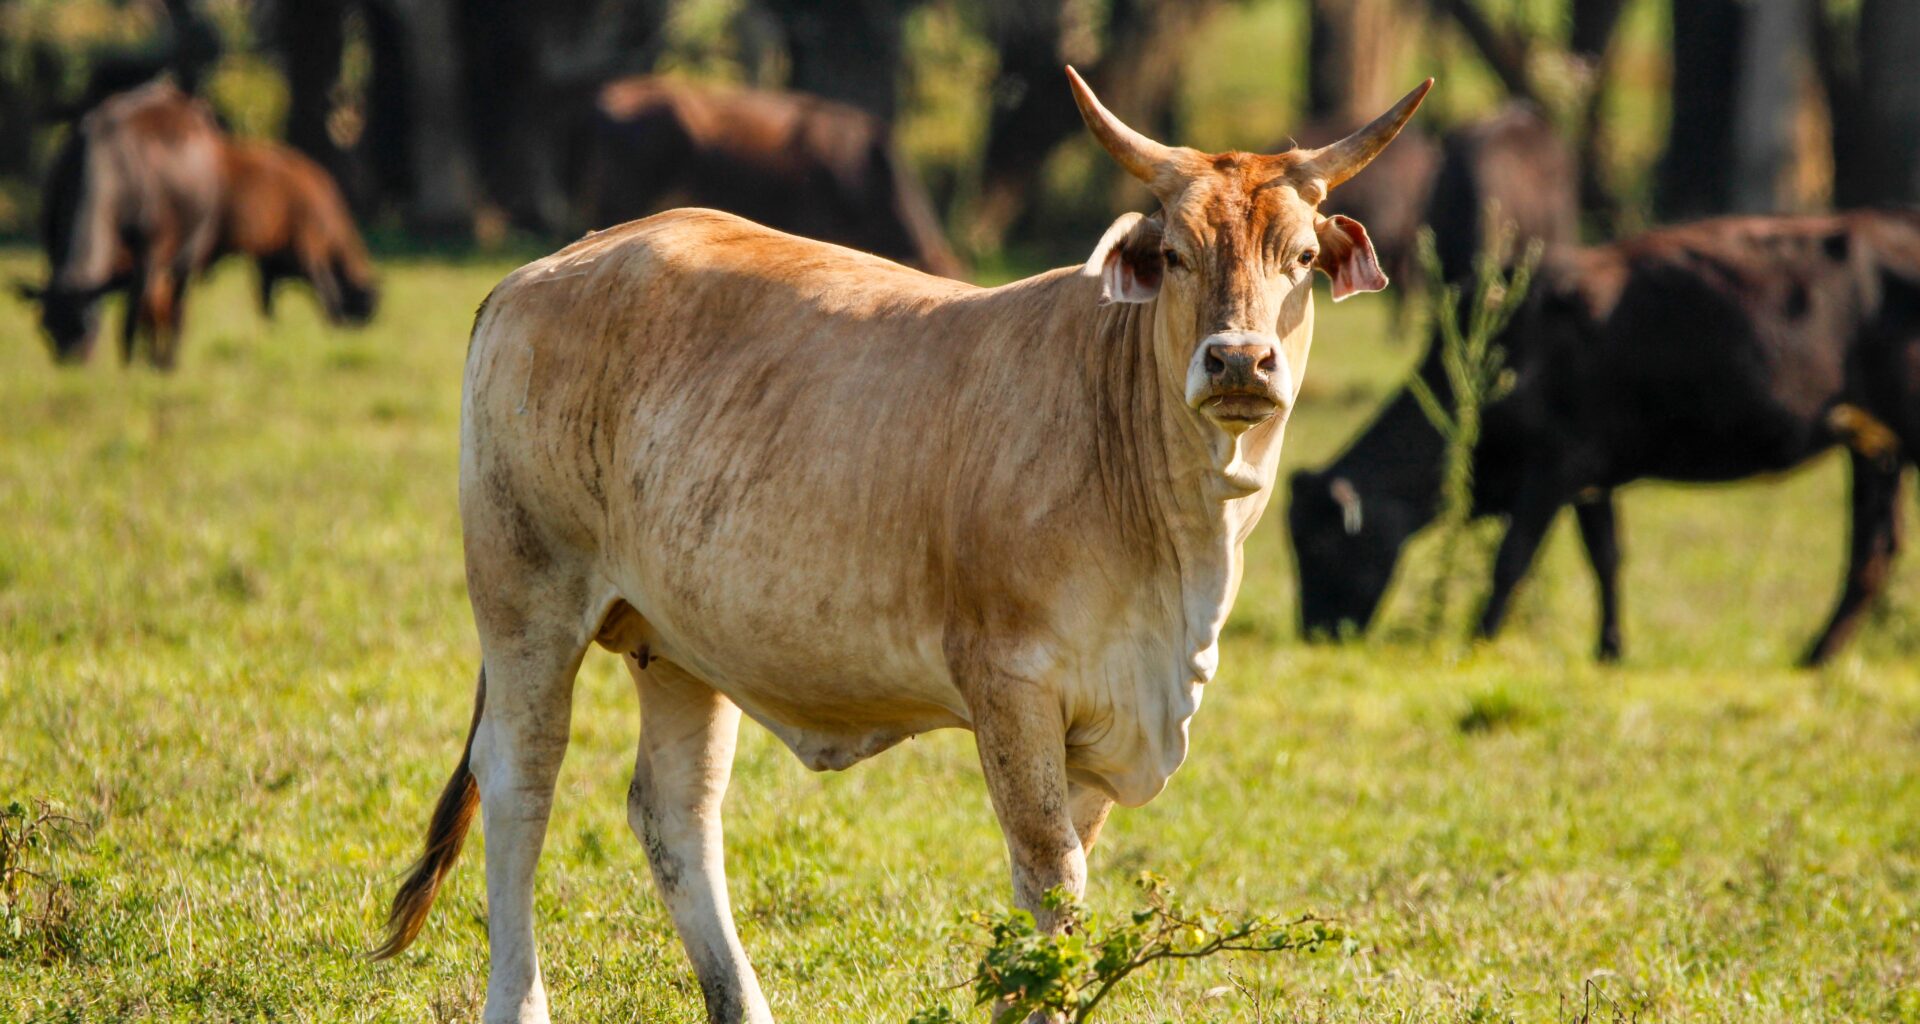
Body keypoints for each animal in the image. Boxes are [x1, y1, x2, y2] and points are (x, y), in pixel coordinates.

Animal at [1289, 211, 1920, 666]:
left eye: (1320, 545)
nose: (1314, 632)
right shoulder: (1593, 477)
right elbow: (1607, 559)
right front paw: (1610, 648)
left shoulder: (1554, 468)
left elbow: (1512, 560)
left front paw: (1477, 639)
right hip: (1874, 450)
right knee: (1875, 551)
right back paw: (1819, 655)